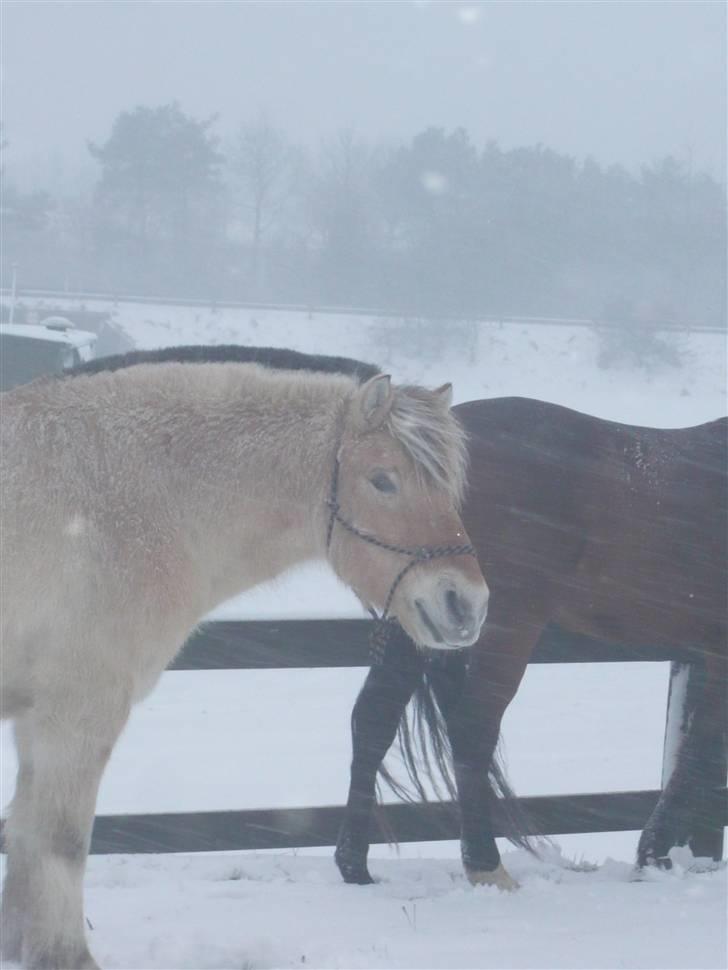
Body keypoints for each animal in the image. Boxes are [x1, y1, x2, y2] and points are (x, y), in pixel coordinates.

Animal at [2, 362, 490, 968]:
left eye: (448, 489)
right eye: (383, 480)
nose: (467, 604)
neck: (117, 504)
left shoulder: (35, 717)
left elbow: (23, 833)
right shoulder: (76, 712)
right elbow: (59, 839)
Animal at [336, 394, 728, 884]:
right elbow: (701, 753)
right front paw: (654, 853)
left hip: (419, 619)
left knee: (373, 718)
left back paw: (354, 865)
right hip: (504, 624)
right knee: (472, 730)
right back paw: (485, 865)